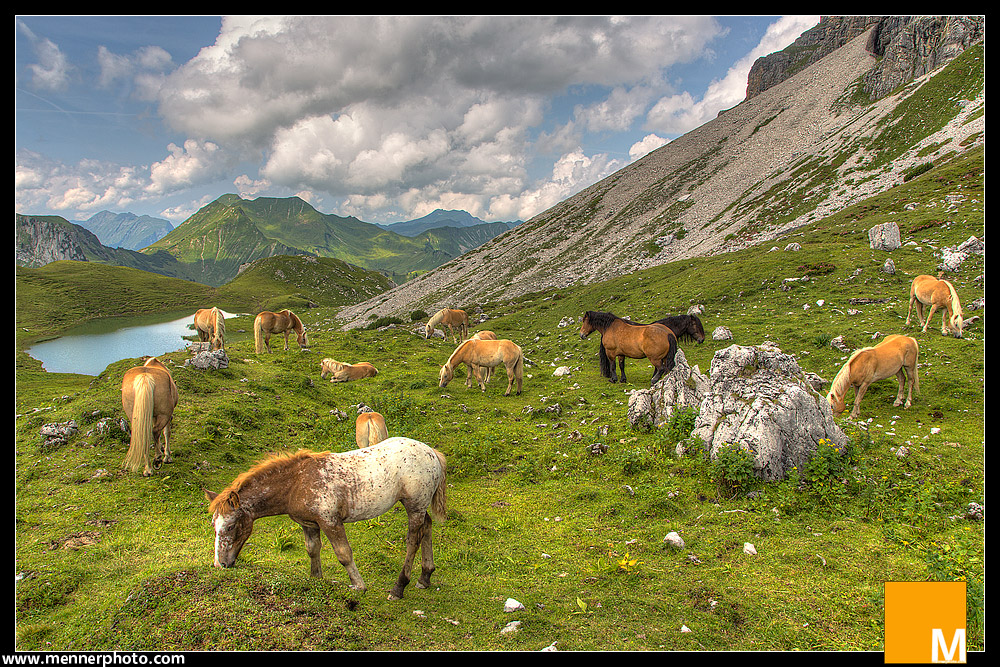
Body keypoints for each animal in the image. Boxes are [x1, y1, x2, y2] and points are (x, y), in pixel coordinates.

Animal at [205, 438, 448, 600]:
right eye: (214, 526)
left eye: (231, 526)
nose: (220, 564)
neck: (296, 483)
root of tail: (432, 452)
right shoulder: (308, 523)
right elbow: (312, 549)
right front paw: (316, 580)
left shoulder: (330, 521)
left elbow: (343, 554)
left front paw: (358, 586)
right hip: (418, 507)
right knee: (427, 527)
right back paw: (425, 577)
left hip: (414, 506)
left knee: (413, 541)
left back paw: (399, 587)